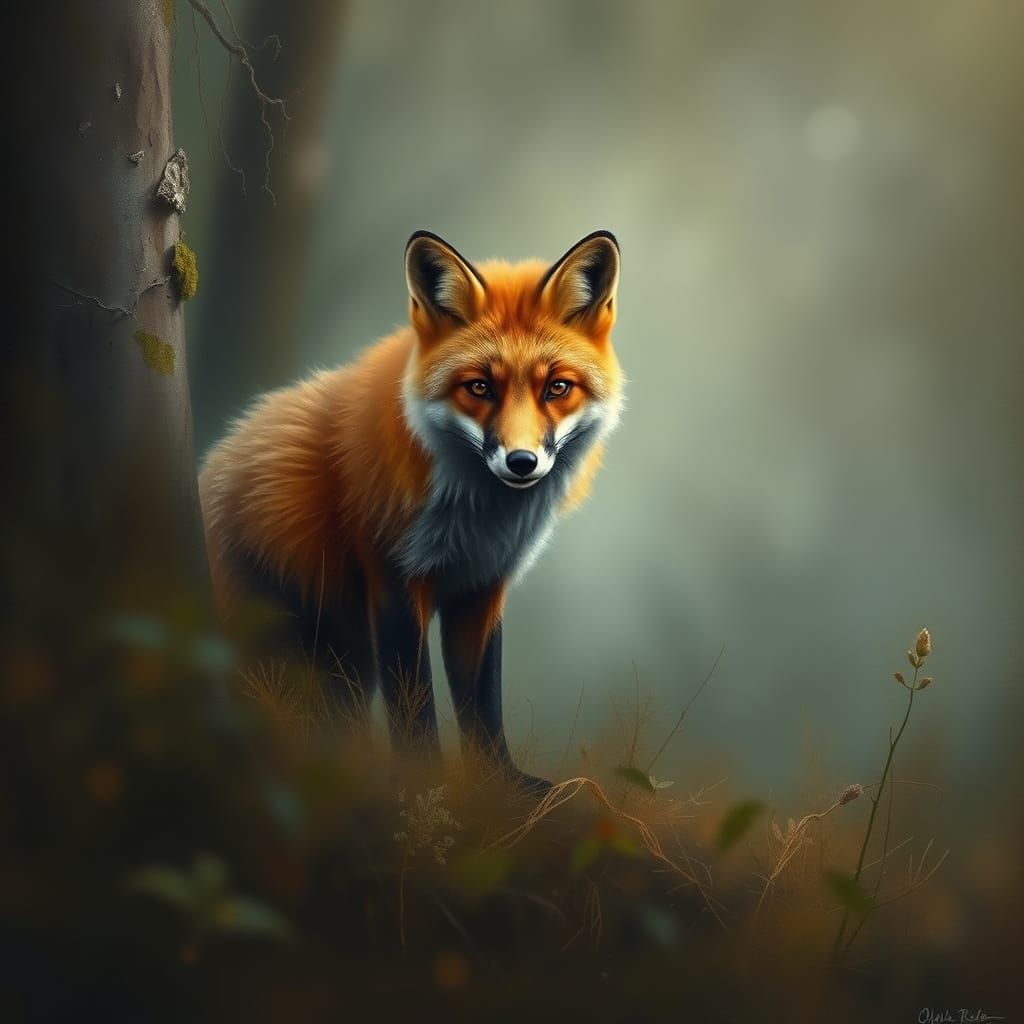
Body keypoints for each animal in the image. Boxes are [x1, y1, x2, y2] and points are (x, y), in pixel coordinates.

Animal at [199, 230, 624, 790]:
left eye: (557, 387)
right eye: (479, 387)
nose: (521, 462)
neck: (477, 518)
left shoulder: (481, 588)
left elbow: (482, 704)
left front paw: (500, 787)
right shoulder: (395, 580)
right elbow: (414, 703)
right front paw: (427, 785)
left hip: (343, 657)